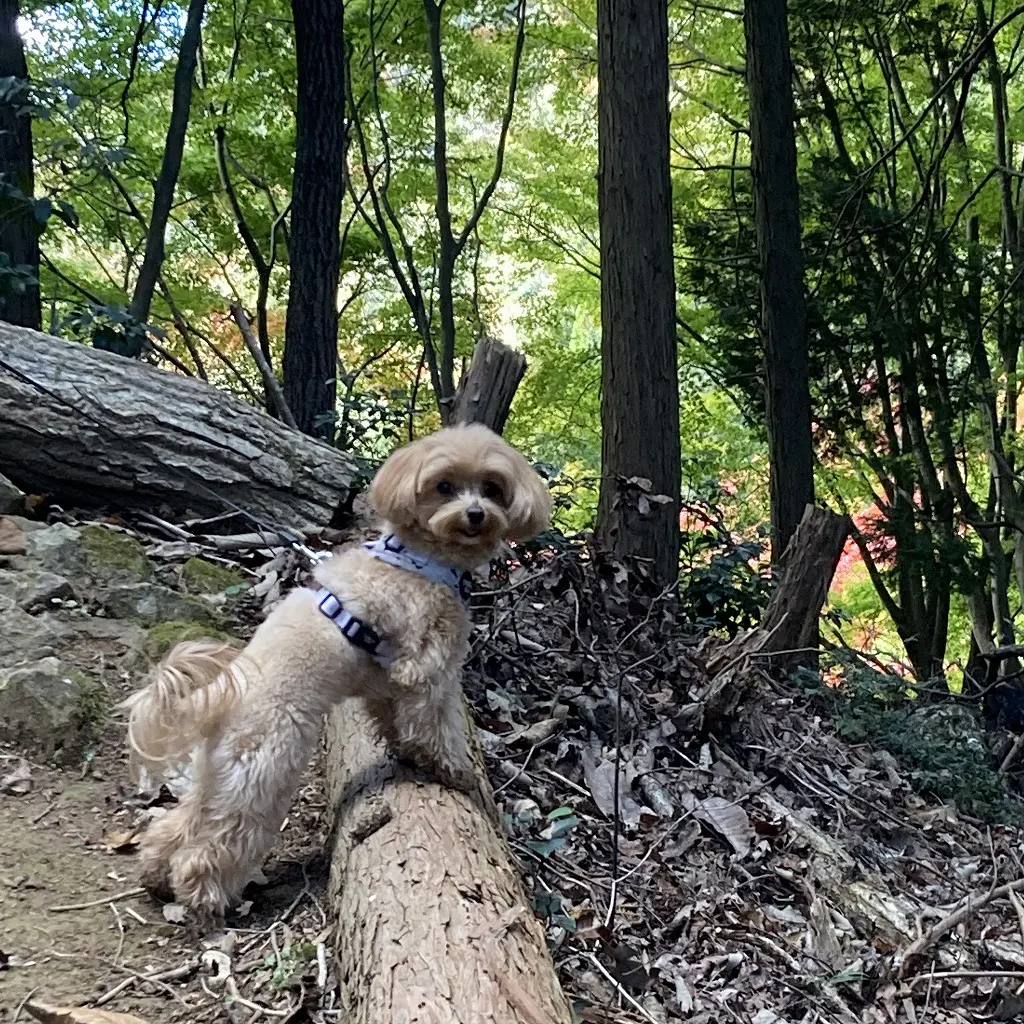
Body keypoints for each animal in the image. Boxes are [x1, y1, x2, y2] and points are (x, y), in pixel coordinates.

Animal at [119, 419, 552, 925]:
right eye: (444, 486)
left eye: (492, 487)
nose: (476, 514)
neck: (419, 559)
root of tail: (223, 698)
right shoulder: (427, 666)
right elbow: (435, 725)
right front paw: (452, 770)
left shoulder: (384, 684)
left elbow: (397, 722)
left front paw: (407, 754)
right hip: (265, 770)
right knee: (214, 844)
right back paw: (209, 899)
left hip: (218, 773)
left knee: (178, 825)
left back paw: (154, 871)